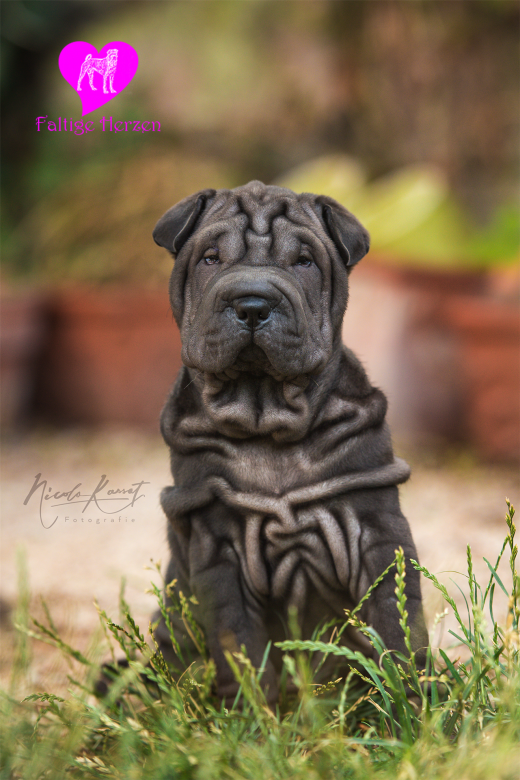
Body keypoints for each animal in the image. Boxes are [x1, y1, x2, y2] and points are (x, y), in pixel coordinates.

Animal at [152, 181, 428, 706]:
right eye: (211, 258)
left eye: (304, 261)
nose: (252, 304)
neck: (266, 416)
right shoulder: (217, 547)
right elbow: (238, 641)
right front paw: (253, 715)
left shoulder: (379, 526)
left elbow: (396, 617)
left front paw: (412, 699)